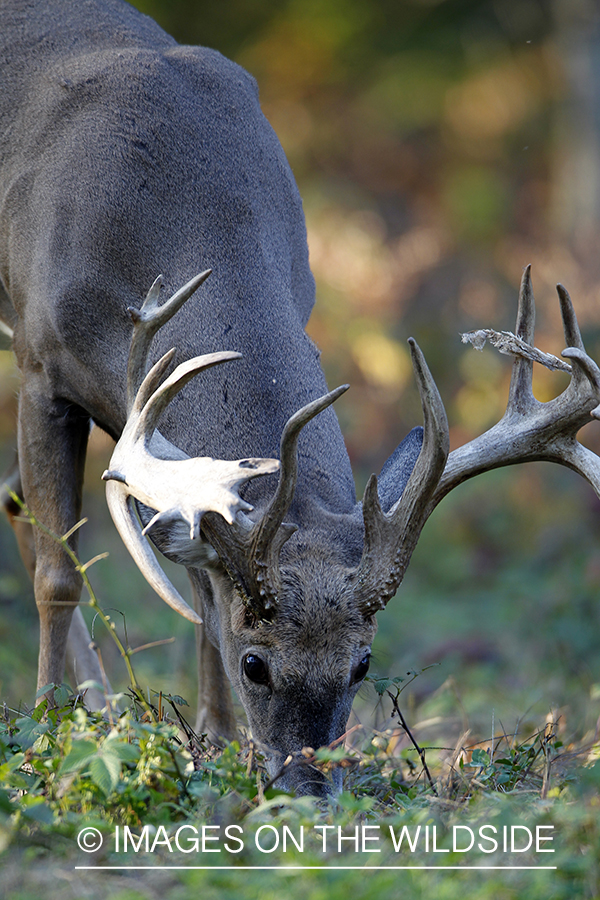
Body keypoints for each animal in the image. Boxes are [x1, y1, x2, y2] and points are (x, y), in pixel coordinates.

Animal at [1, 0, 600, 796]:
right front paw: (43, 732)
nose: (310, 788)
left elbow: (202, 590)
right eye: (257, 664)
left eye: (362, 664)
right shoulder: (41, 364)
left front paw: (215, 741)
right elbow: (58, 573)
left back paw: (101, 704)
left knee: (12, 494)